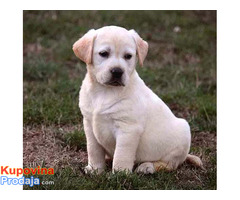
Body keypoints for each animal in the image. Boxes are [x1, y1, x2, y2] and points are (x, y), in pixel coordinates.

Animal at [71, 26, 202, 173]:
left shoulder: (128, 129)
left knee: (170, 164)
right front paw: (95, 169)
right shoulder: (89, 124)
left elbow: (122, 155)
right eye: (103, 53)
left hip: (182, 135)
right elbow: (93, 150)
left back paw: (147, 167)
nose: (117, 71)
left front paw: (120, 173)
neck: (105, 91)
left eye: (128, 56)